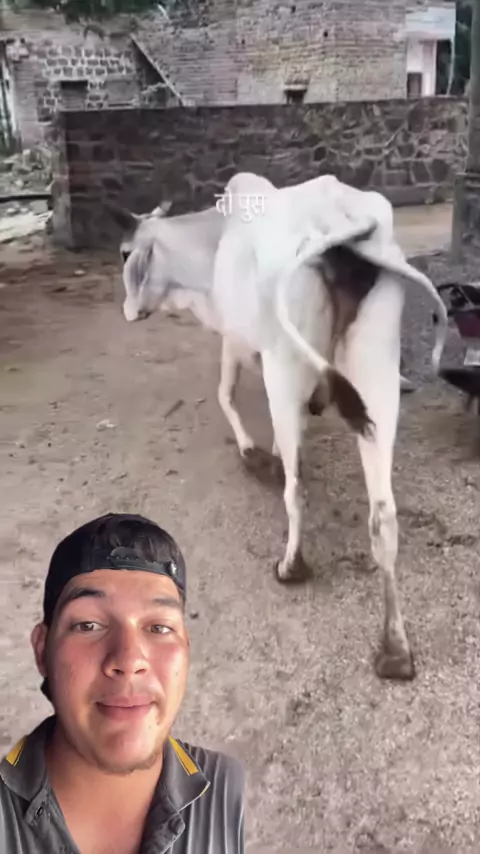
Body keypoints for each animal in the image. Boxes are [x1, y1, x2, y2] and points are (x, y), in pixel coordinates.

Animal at [110, 173, 448, 681]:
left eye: (126, 254)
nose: (129, 311)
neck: (213, 243)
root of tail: (342, 222)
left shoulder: (236, 340)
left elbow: (226, 395)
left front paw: (255, 456)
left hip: (284, 366)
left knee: (297, 486)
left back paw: (292, 565)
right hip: (376, 375)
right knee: (383, 515)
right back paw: (395, 648)